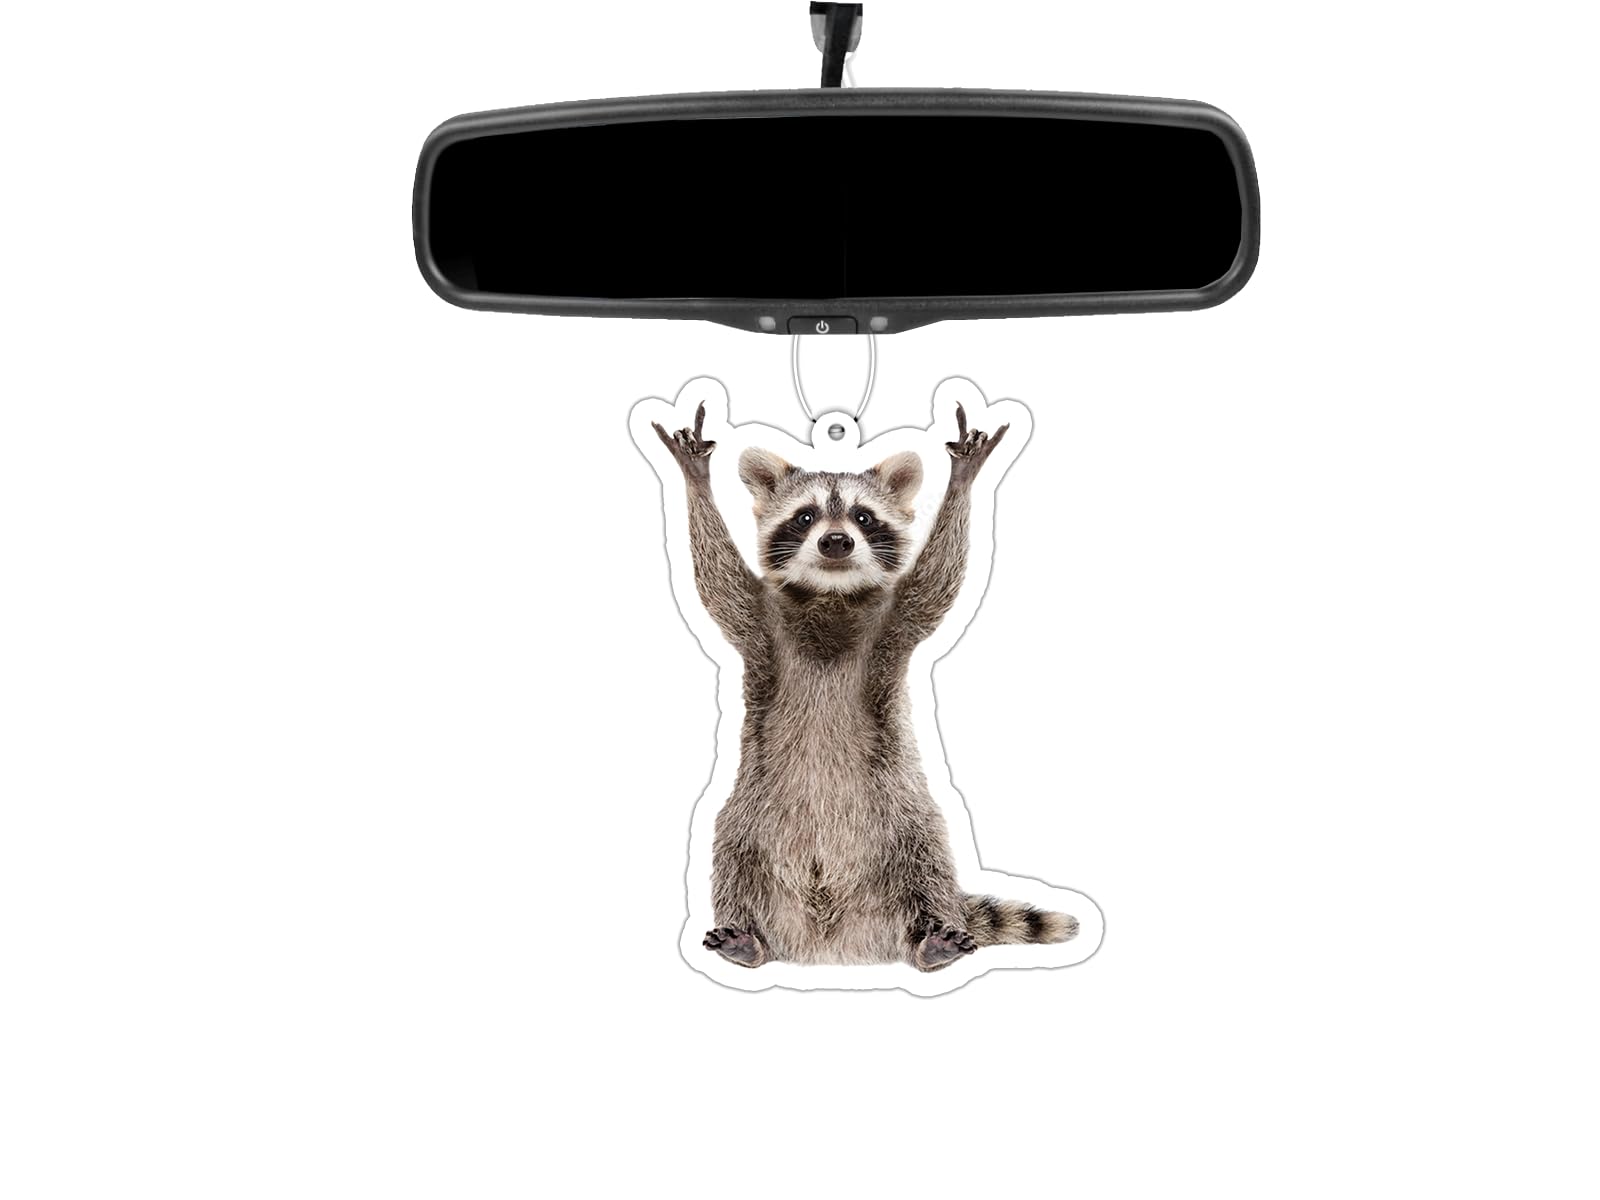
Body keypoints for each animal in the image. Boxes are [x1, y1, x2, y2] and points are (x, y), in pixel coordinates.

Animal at [653, 403, 1077, 972]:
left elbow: (937, 582)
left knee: (929, 858)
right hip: (748, 815)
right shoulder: (759, 624)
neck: (831, 595)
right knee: (732, 855)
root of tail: (832, 944)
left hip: (905, 815)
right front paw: (695, 478)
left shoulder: (894, 624)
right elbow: (718, 582)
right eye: (805, 516)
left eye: (863, 517)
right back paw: (748, 939)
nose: (836, 542)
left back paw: (930, 941)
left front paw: (962, 480)